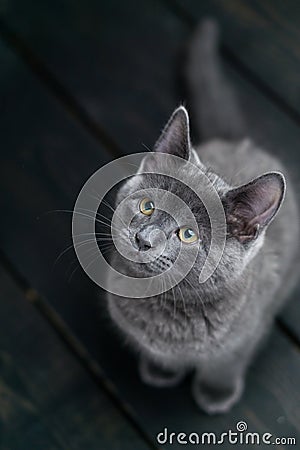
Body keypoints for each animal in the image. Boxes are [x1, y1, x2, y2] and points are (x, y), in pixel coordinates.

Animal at [105, 22, 298, 414]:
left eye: (188, 235)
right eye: (147, 206)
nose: (144, 239)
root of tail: (240, 140)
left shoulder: (246, 334)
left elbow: (224, 363)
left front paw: (215, 393)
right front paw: (161, 370)